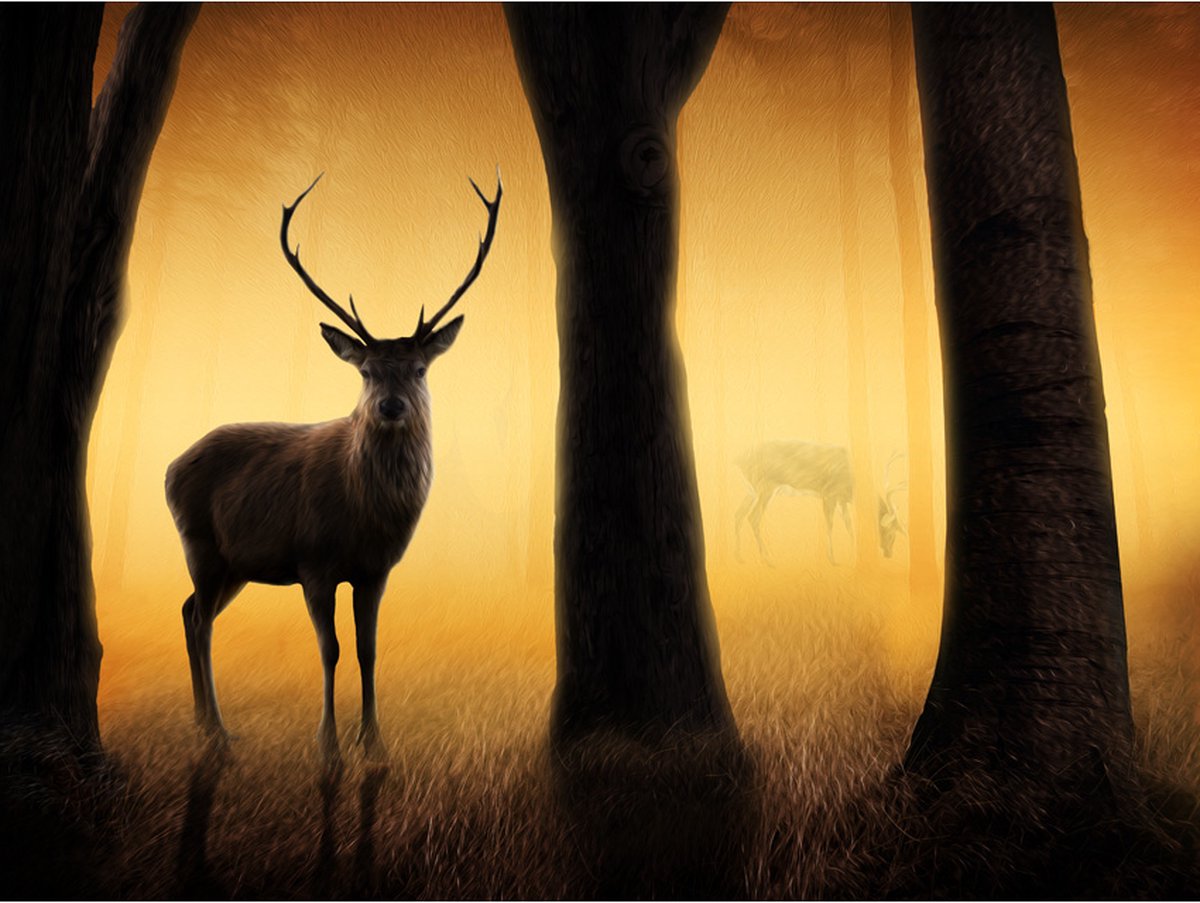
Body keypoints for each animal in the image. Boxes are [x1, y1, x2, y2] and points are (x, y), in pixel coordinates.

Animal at [165, 171, 501, 761]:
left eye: (418, 368)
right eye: (366, 371)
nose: (390, 407)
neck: (365, 517)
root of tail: (168, 468)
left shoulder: (376, 569)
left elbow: (368, 649)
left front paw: (375, 743)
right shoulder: (313, 561)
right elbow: (330, 649)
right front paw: (329, 746)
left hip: (235, 564)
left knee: (188, 612)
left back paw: (205, 724)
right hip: (199, 543)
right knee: (201, 621)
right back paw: (219, 733)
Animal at [734, 442, 907, 565]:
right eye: (891, 532)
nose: (889, 554)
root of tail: (739, 460)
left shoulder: (842, 499)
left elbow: (849, 526)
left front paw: (853, 556)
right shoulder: (829, 493)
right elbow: (830, 524)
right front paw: (833, 559)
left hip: (751, 491)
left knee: (738, 515)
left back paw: (740, 558)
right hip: (765, 487)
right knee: (753, 517)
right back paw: (768, 559)